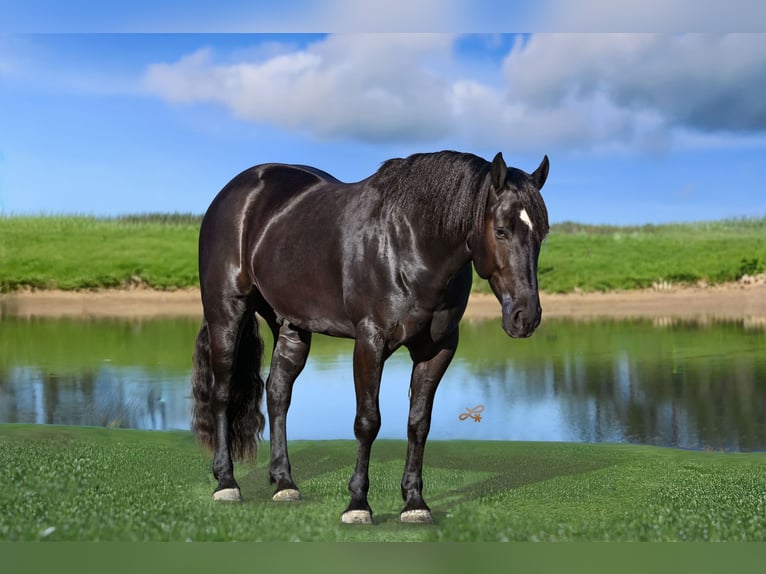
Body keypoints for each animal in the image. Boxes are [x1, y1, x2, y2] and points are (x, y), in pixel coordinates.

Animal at [191, 150, 550, 524]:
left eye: (542, 234)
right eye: (502, 230)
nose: (525, 316)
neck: (409, 243)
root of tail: (237, 190)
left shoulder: (437, 350)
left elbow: (418, 423)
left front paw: (415, 502)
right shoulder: (369, 343)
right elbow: (367, 422)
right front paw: (358, 504)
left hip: (290, 326)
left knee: (277, 393)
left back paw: (284, 483)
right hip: (226, 314)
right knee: (222, 394)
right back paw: (226, 482)